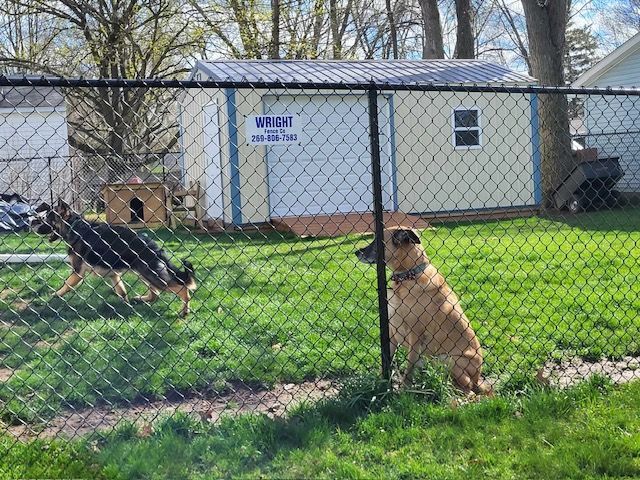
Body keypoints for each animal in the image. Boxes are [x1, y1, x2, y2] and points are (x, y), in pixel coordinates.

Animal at [356, 226, 490, 394]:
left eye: (377, 242)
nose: (356, 252)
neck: (408, 276)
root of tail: (478, 378)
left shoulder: (415, 334)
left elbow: (409, 366)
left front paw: (404, 391)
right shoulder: (392, 331)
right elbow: (387, 360)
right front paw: (383, 382)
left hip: (449, 360)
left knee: (468, 390)